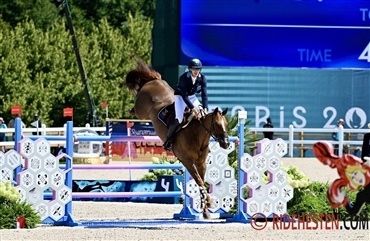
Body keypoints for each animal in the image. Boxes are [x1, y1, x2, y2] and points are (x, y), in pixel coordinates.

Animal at [125, 61, 230, 219]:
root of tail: (154, 80)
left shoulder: (201, 163)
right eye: (217, 124)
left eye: (227, 124)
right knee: (137, 108)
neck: (196, 134)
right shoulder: (187, 161)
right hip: (142, 111)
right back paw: (130, 109)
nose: (226, 143)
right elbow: (199, 182)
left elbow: (201, 182)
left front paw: (206, 211)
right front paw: (210, 204)